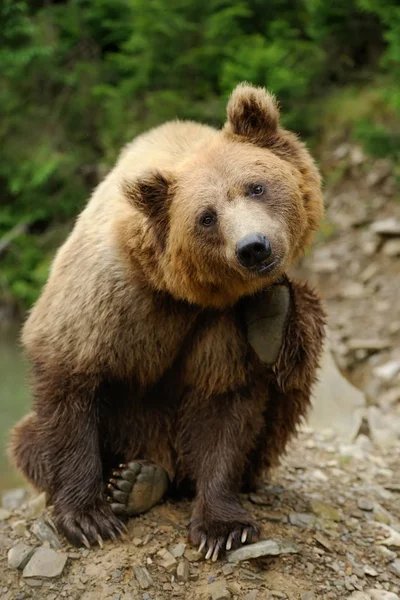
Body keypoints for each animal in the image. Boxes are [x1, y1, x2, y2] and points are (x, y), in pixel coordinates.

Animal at [10, 83, 324, 556]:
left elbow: (224, 405)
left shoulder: (221, 321)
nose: (254, 247)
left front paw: (222, 527)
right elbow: (70, 379)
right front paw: (88, 519)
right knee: (27, 439)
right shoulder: (106, 296)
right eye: (206, 216)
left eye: (256, 186)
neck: (177, 289)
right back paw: (133, 481)